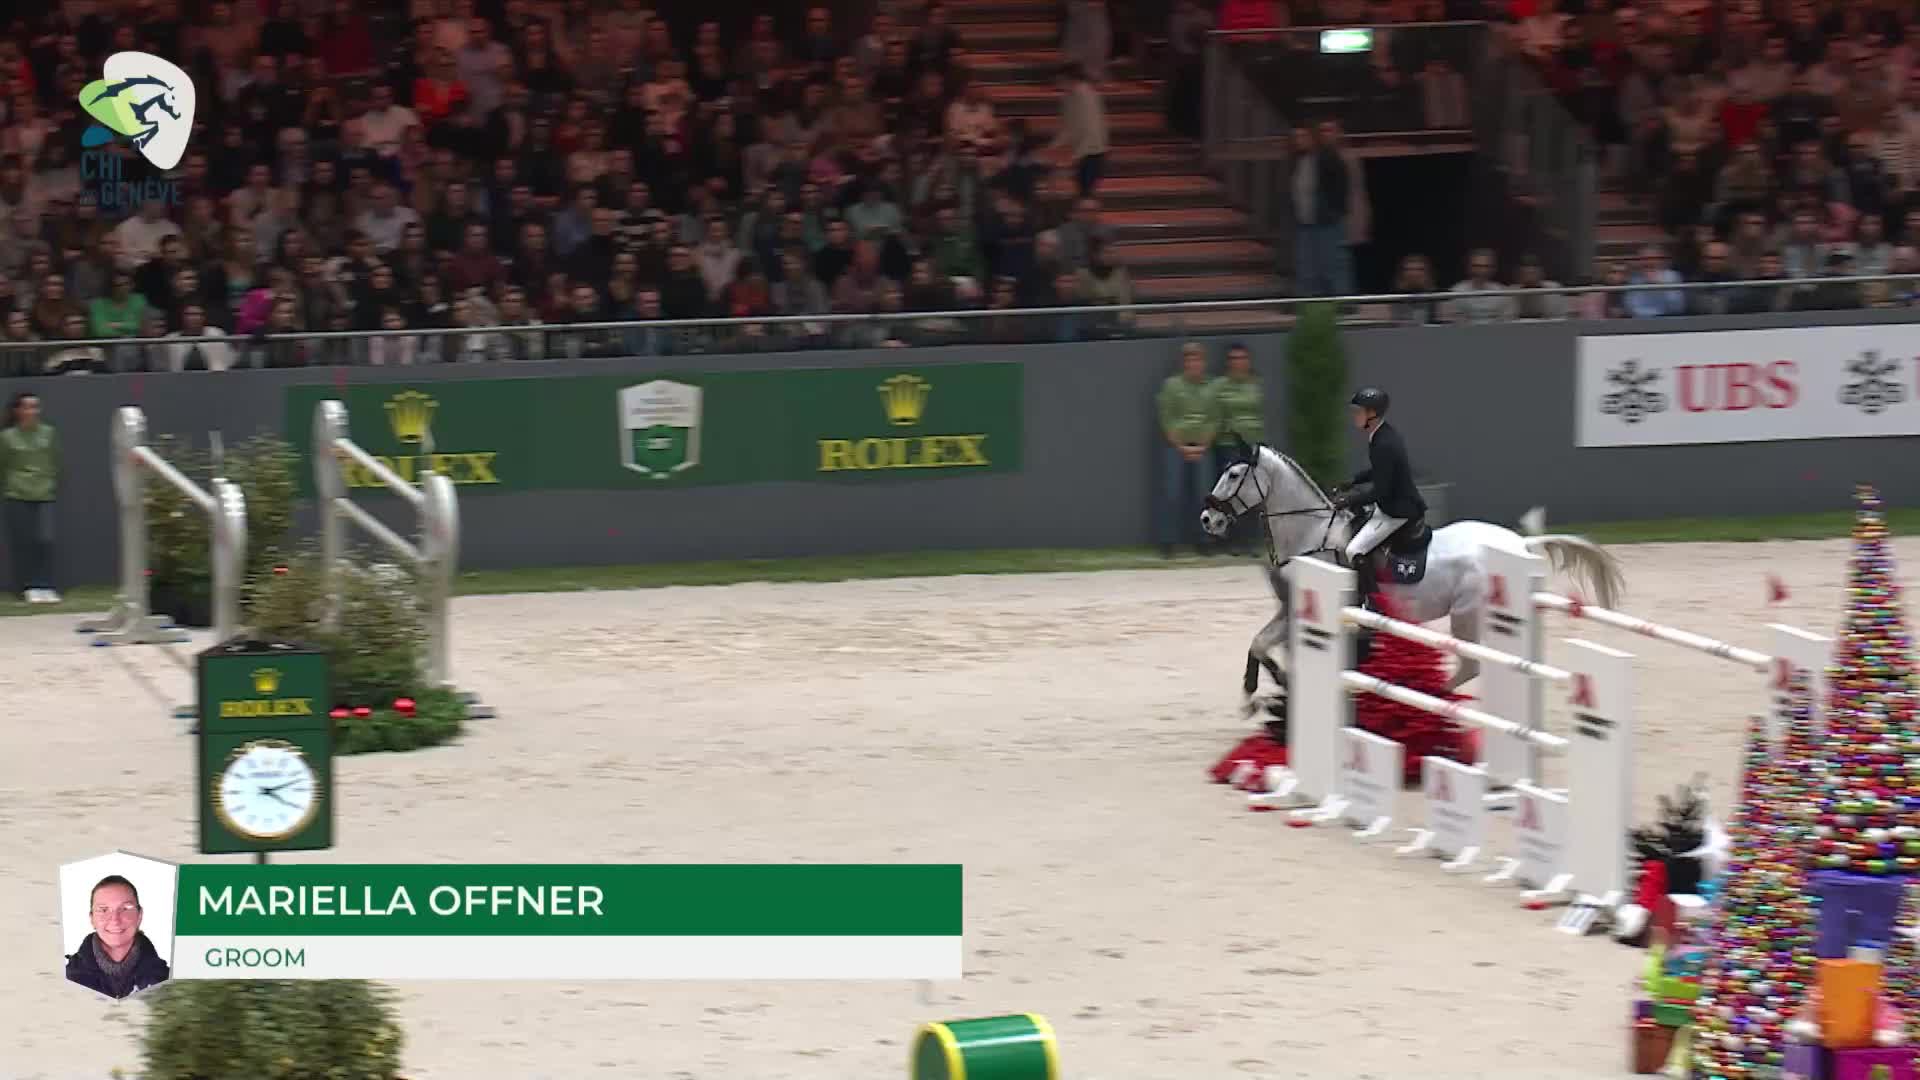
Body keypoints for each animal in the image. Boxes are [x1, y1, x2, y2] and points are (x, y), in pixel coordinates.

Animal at [1198, 441, 1626, 715]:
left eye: (1234, 474)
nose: (1207, 519)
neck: (1309, 533)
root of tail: (1519, 543)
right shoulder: (1289, 610)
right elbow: (1259, 644)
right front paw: (1259, 693)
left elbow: (1270, 646)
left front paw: (1272, 688)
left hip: (1467, 615)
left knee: (1470, 666)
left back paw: (1430, 699)